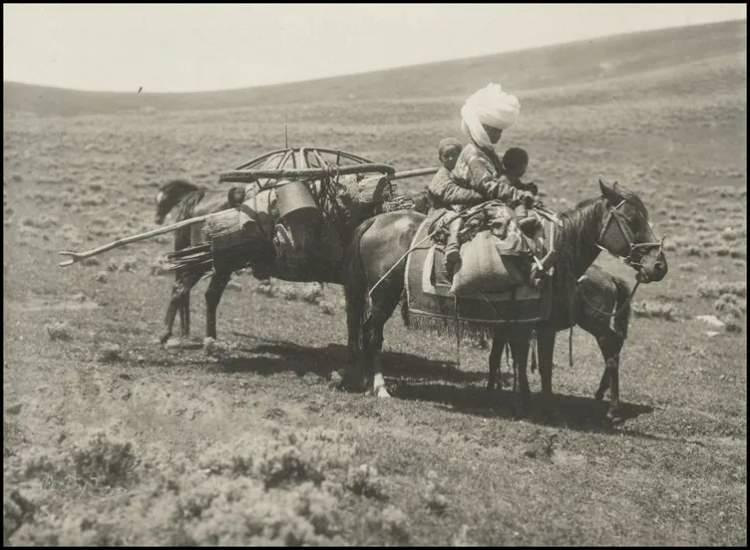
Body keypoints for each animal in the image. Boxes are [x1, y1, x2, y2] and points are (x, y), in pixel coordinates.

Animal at [346, 181, 668, 406]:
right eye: (632, 220)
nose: (659, 266)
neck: (556, 255)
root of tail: (374, 221)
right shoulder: (534, 325)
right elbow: (534, 364)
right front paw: (534, 403)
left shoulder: (525, 325)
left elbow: (522, 362)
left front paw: (519, 398)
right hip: (383, 294)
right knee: (372, 334)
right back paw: (379, 387)